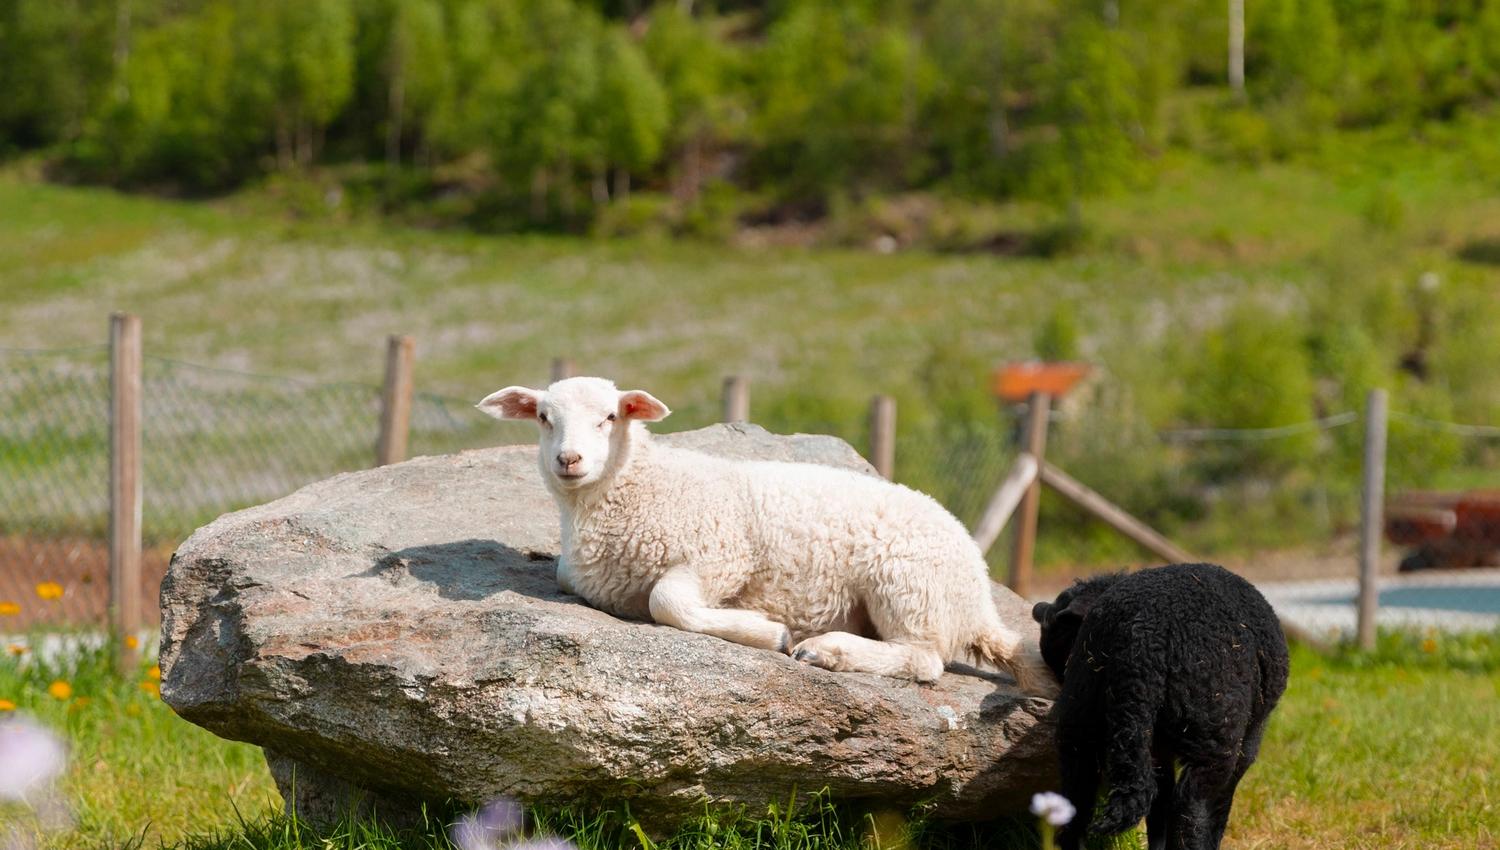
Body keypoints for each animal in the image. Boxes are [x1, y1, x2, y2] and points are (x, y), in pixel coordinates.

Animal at [476, 376, 1059, 696]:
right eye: (543, 418)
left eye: (609, 417)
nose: (568, 459)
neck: (639, 486)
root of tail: (978, 599)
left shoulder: (721, 554)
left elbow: (667, 602)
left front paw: (768, 632)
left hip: (906, 583)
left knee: (922, 659)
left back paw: (825, 650)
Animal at [1030, 563, 1289, 850]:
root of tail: (1141, 643)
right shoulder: (1249, 741)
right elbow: (1219, 804)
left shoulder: (1156, 751)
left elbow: (1159, 808)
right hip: (1214, 737)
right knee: (1192, 811)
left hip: (1079, 728)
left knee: (1076, 808)